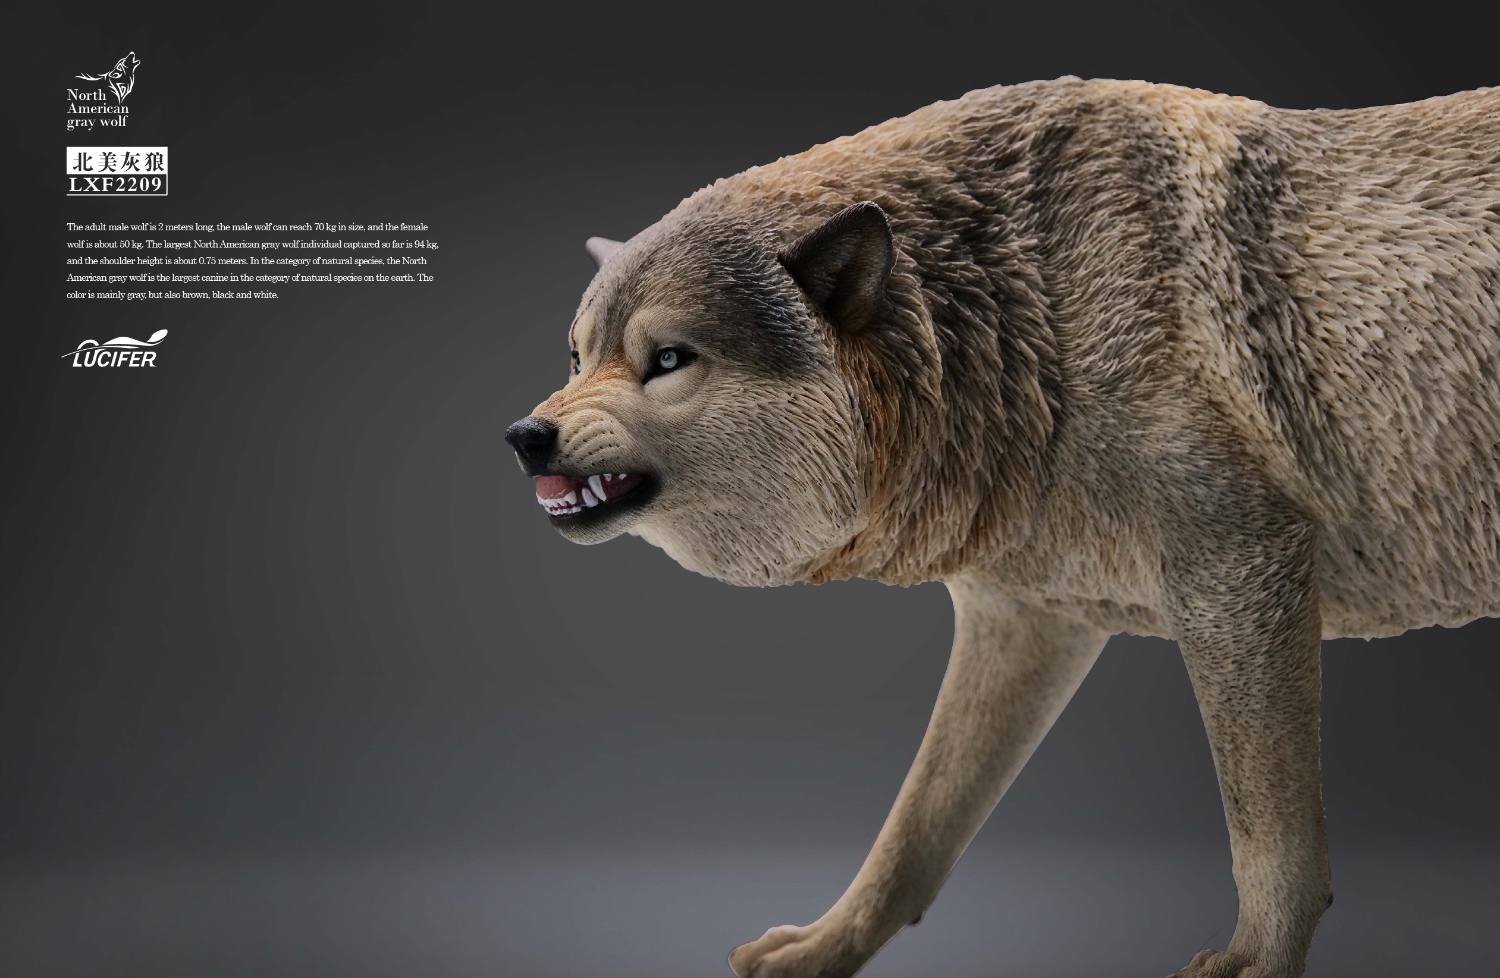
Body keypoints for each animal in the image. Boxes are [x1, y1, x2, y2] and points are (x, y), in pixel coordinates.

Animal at [505, 77, 1500, 978]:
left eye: (667, 359)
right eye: (578, 356)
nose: (525, 436)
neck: (1030, 311)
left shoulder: (1243, 570)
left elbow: (1270, 829)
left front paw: (1257, 961)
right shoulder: (1024, 621)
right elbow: (913, 831)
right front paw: (825, 948)